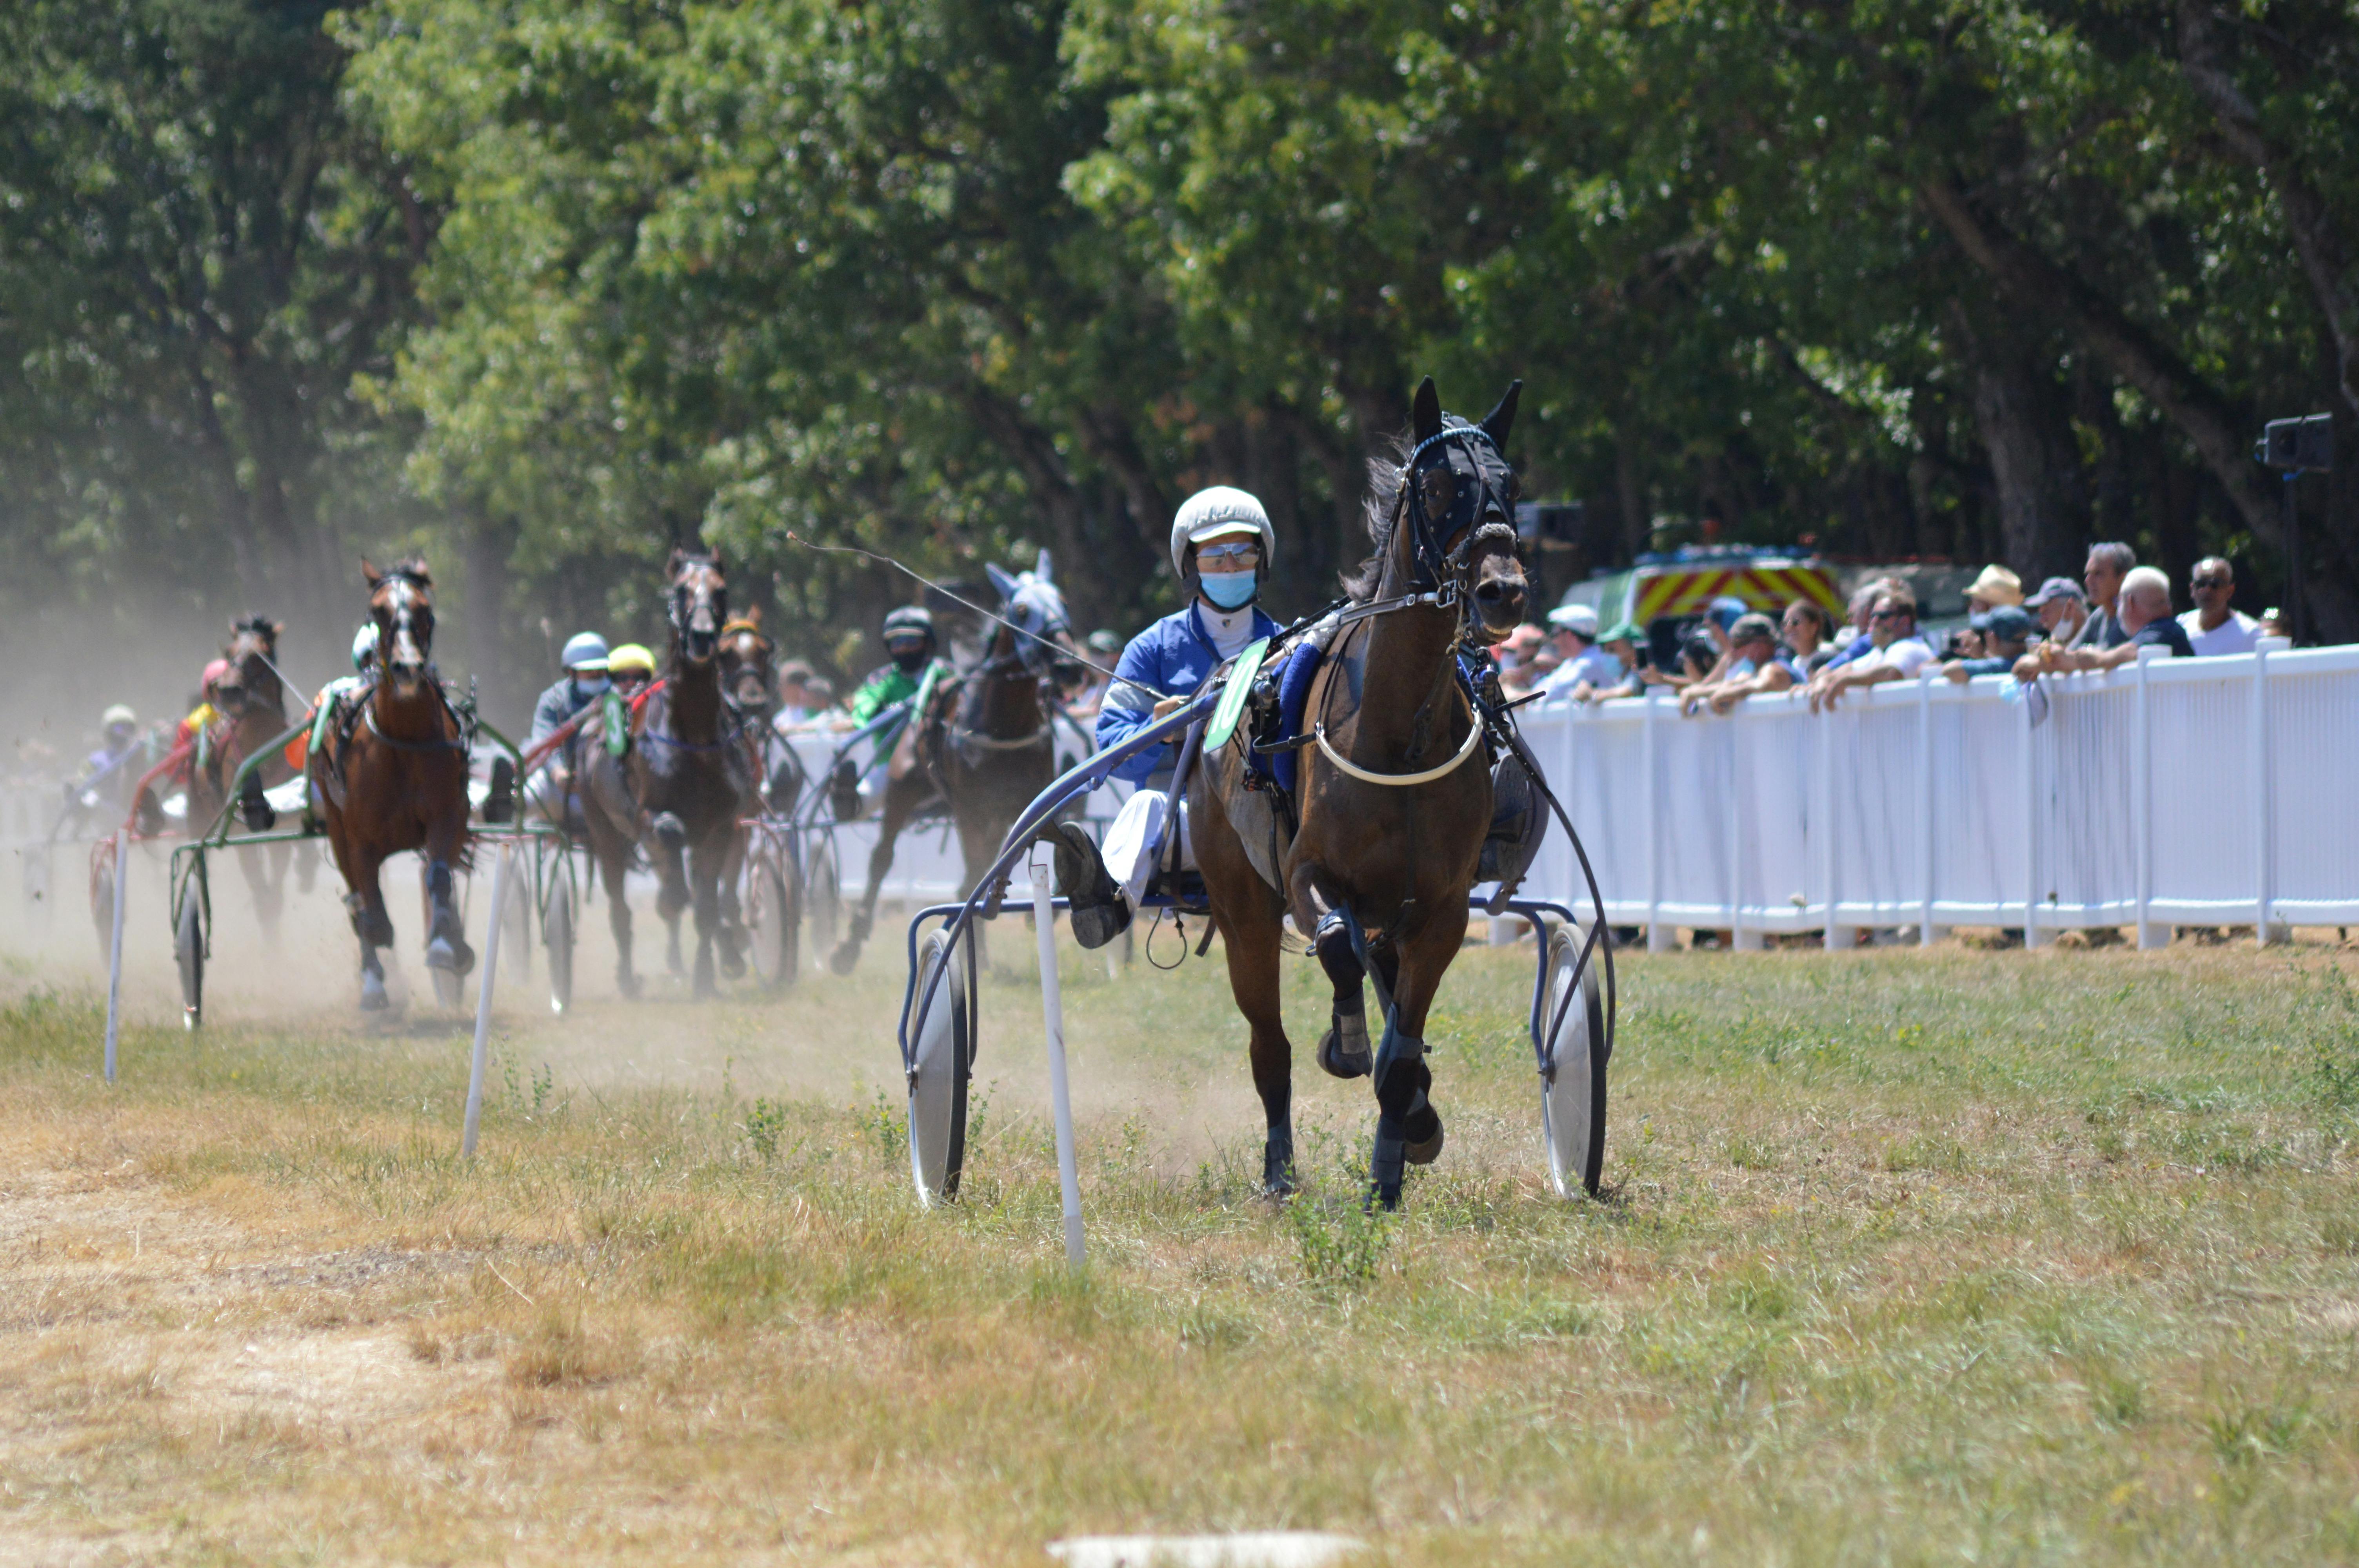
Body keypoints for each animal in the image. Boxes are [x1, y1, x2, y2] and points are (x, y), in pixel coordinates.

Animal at [311, 556, 481, 1009]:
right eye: (378, 611)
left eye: (425, 608)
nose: (407, 667)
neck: (403, 741)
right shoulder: (359, 840)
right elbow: (371, 910)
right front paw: (376, 968)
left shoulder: (449, 816)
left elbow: (439, 878)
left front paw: (448, 947)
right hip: (335, 827)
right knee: (358, 900)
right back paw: (374, 984)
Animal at [835, 549, 1076, 967]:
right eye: (1023, 610)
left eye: (1062, 600)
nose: (1069, 666)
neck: (1002, 725)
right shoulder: (970, 809)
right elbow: (978, 868)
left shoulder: (1023, 800)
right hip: (903, 791)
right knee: (882, 858)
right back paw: (852, 942)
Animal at [1198, 372, 1528, 1202]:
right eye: (1439, 488)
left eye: (1510, 485)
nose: (1502, 591)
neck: (1400, 737)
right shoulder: (1306, 875)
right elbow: (1333, 946)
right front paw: (1346, 1045)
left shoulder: (1441, 912)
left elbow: (1403, 1052)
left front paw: (1391, 1167)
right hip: (1242, 907)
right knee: (1271, 1042)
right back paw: (1280, 1170)